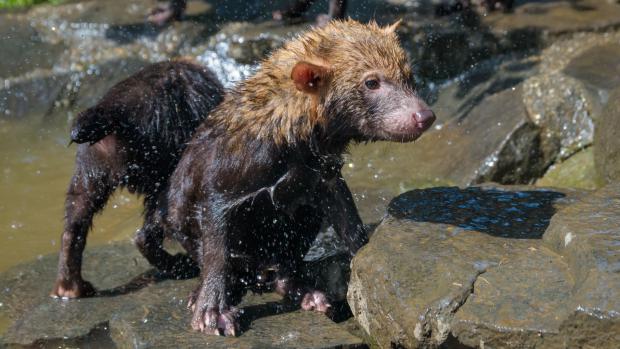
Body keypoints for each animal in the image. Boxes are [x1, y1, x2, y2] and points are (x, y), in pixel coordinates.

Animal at [52, 59, 224, 296]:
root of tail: (116, 110)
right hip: (166, 153)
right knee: (157, 221)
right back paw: (182, 265)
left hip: (91, 164)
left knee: (76, 218)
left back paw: (71, 287)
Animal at [165, 19, 436, 334]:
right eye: (372, 82)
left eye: (408, 75)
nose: (424, 116)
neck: (288, 139)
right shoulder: (224, 177)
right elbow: (216, 246)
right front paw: (211, 311)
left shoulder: (324, 175)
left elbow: (349, 222)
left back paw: (307, 293)